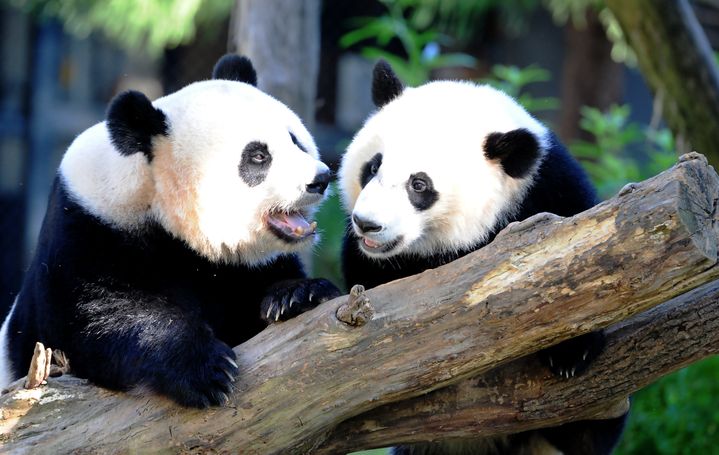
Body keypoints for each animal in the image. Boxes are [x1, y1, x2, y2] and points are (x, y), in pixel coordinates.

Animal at [0, 54, 342, 410]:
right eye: (258, 156)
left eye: (295, 140)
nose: (321, 179)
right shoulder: (85, 233)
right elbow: (98, 319)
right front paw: (206, 370)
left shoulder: (237, 268)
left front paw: (298, 295)